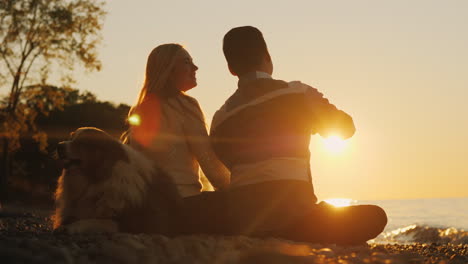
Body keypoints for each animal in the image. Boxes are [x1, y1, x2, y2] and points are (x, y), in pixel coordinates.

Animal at [53, 127, 181, 234]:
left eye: (82, 142)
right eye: (71, 137)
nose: (59, 146)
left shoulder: (140, 224)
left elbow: (97, 221)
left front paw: (73, 227)